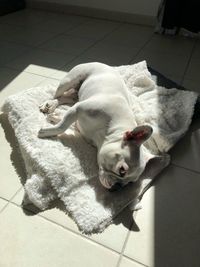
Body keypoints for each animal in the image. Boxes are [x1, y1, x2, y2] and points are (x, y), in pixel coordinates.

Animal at [38, 62, 159, 193]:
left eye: (130, 183)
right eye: (122, 171)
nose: (117, 187)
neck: (109, 132)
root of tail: (103, 64)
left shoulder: (78, 122)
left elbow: (65, 121)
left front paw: (55, 117)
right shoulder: (78, 108)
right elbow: (63, 126)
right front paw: (46, 132)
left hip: (75, 93)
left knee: (67, 97)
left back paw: (52, 106)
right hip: (68, 81)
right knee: (57, 95)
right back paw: (49, 104)